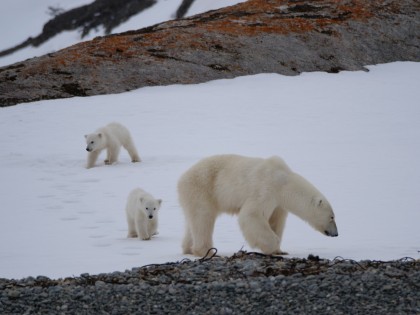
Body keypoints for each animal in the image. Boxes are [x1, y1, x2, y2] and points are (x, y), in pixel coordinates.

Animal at [177, 155, 338, 256]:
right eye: (332, 217)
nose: (336, 233)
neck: (284, 181)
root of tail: (181, 178)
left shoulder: (278, 201)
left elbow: (276, 220)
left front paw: (280, 250)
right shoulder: (266, 187)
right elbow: (252, 214)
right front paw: (273, 246)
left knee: (192, 221)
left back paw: (188, 249)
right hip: (202, 189)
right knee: (203, 218)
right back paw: (207, 251)